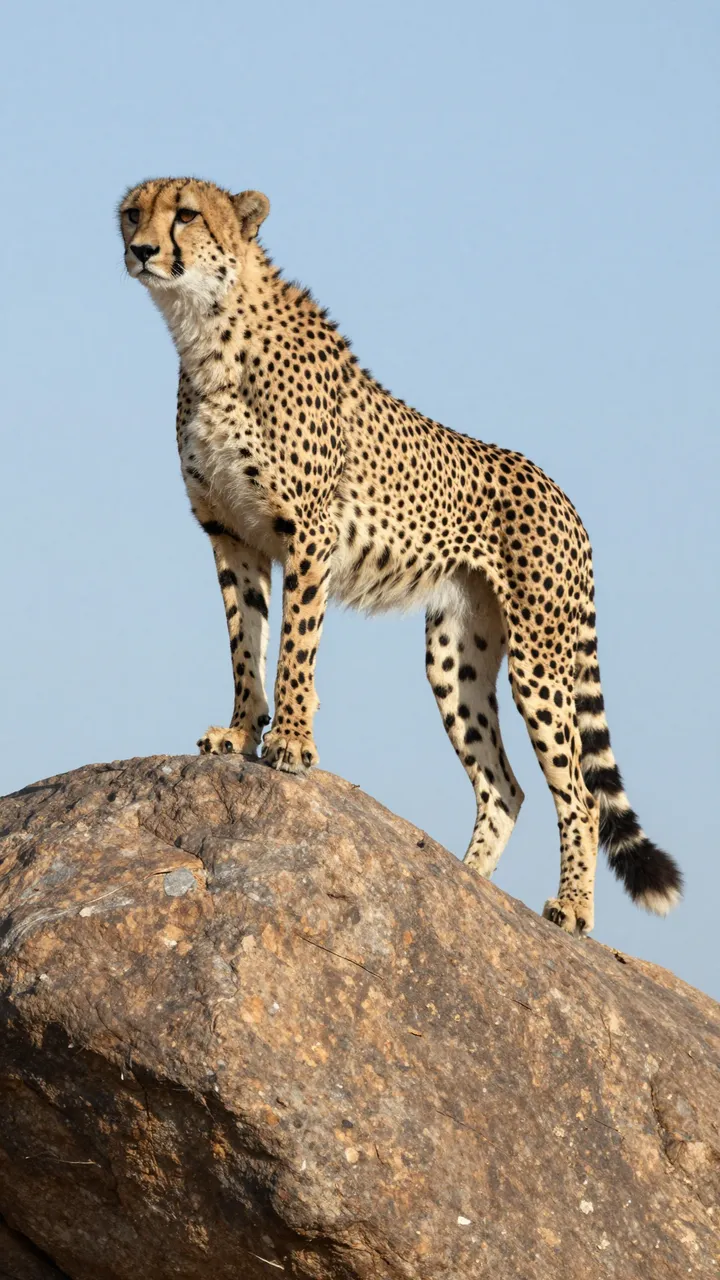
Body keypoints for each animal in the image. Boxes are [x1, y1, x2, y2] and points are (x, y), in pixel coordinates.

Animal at [118, 176, 682, 935]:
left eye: (185, 215)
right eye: (133, 212)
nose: (142, 250)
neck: (207, 332)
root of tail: (562, 494)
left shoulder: (309, 532)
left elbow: (295, 644)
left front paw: (290, 741)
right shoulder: (230, 534)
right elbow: (245, 643)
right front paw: (239, 732)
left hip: (540, 656)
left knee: (579, 793)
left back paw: (569, 908)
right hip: (456, 654)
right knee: (503, 787)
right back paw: (466, 888)